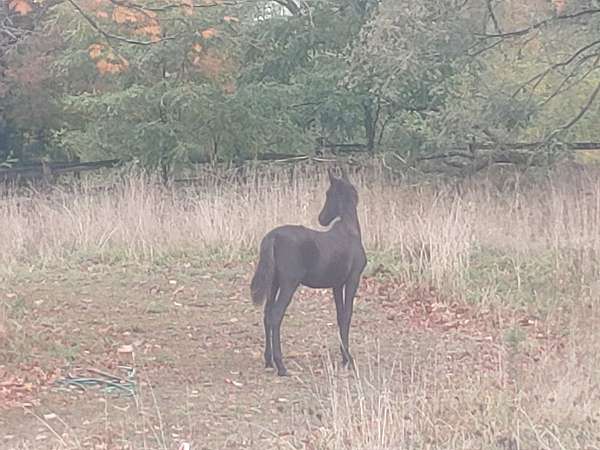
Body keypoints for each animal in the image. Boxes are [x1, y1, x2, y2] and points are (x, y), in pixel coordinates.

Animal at [248, 169, 366, 376]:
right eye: (328, 193)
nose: (321, 218)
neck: (350, 232)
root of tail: (272, 237)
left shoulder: (336, 284)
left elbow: (340, 316)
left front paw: (344, 357)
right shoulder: (353, 279)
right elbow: (347, 315)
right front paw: (349, 359)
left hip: (274, 283)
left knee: (266, 314)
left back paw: (268, 360)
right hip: (289, 283)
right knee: (275, 316)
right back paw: (281, 366)